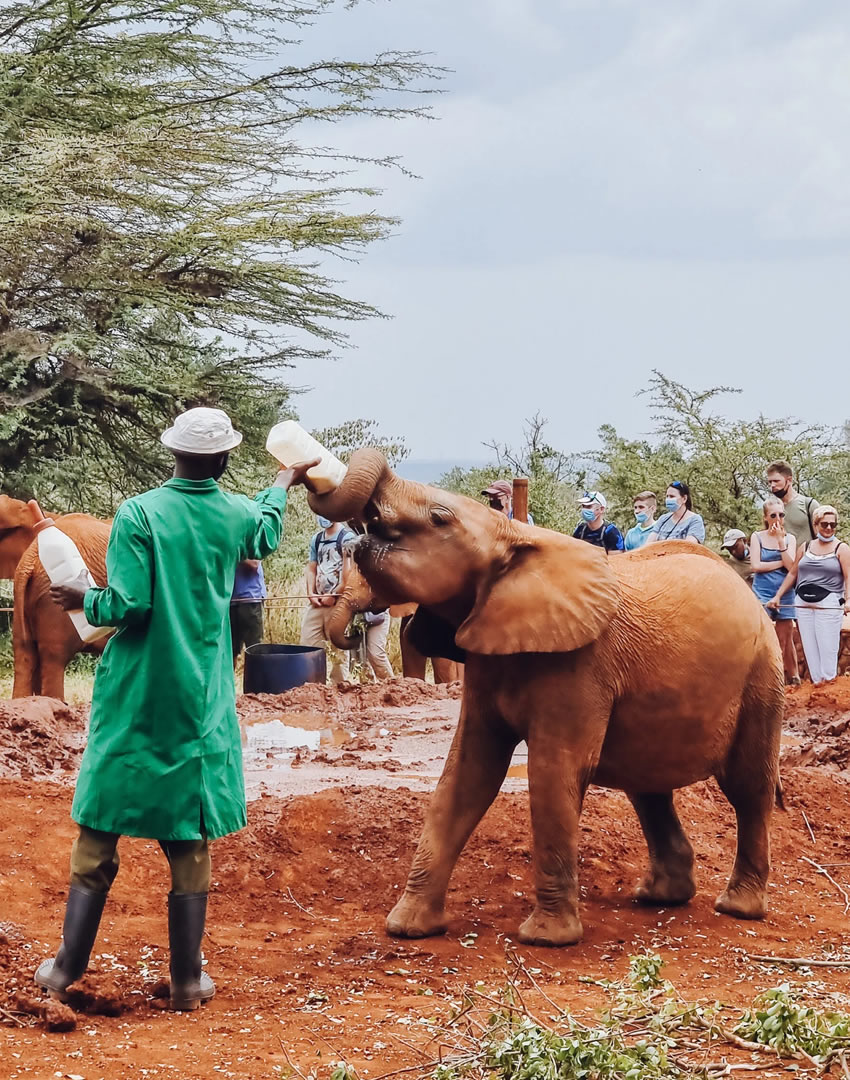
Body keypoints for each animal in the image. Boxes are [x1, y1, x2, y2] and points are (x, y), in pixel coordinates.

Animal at [308, 450, 785, 947]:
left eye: (439, 518)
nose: (314, 472)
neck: (516, 537)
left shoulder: (581, 666)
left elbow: (553, 772)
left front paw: (545, 938)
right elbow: (466, 773)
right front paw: (407, 928)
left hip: (762, 676)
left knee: (749, 787)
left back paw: (738, 907)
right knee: (648, 786)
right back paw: (658, 896)